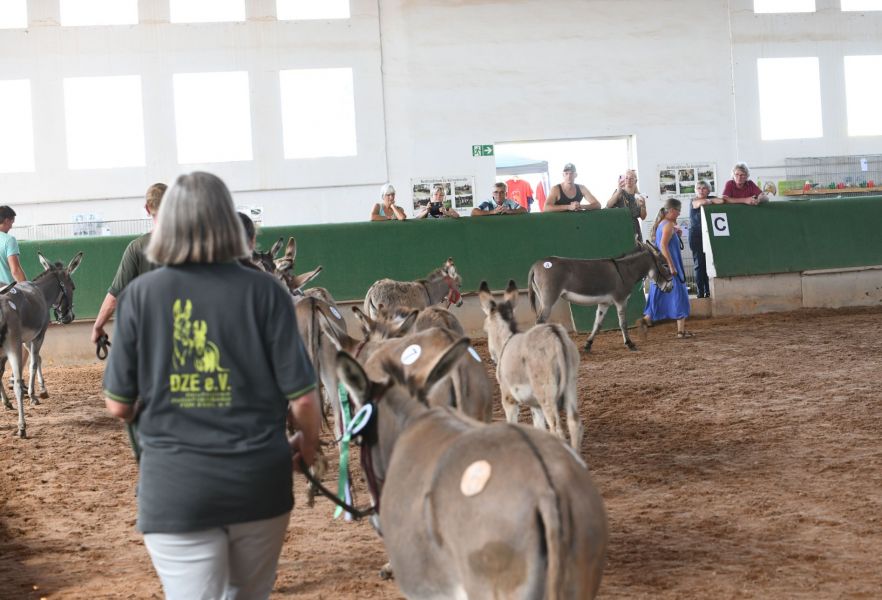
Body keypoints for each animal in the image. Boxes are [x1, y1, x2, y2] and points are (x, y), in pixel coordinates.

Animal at [1, 252, 83, 438]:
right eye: (73, 287)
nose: (70, 317)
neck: (41, 292)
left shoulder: (27, 340)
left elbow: (37, 358)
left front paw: (41, 389)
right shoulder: (39, 336)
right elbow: (34, 362)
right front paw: (34, 395)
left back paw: (7, 403)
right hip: (12, 347)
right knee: (17, 383)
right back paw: (22, 426)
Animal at [479, 280, 583, 450]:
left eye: (485, 329)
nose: (493, 358)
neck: (506, 341)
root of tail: (554, 334)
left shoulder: (508, 397)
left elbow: (512, 421)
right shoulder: (535, 405)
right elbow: (539, 426)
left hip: (546, 392)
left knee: (556, 429)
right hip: (570, 385)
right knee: (574, 423)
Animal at [527, 240, 673, 352]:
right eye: (665, 265)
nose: (671, 288)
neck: (625, 271)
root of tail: (536, 265)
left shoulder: (604, 303)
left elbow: (597, 325)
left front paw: (588, 345)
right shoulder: (621, 300)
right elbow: (623, 323)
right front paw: (630, 344)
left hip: (542, 298)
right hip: (549, 299)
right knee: (540, 321)